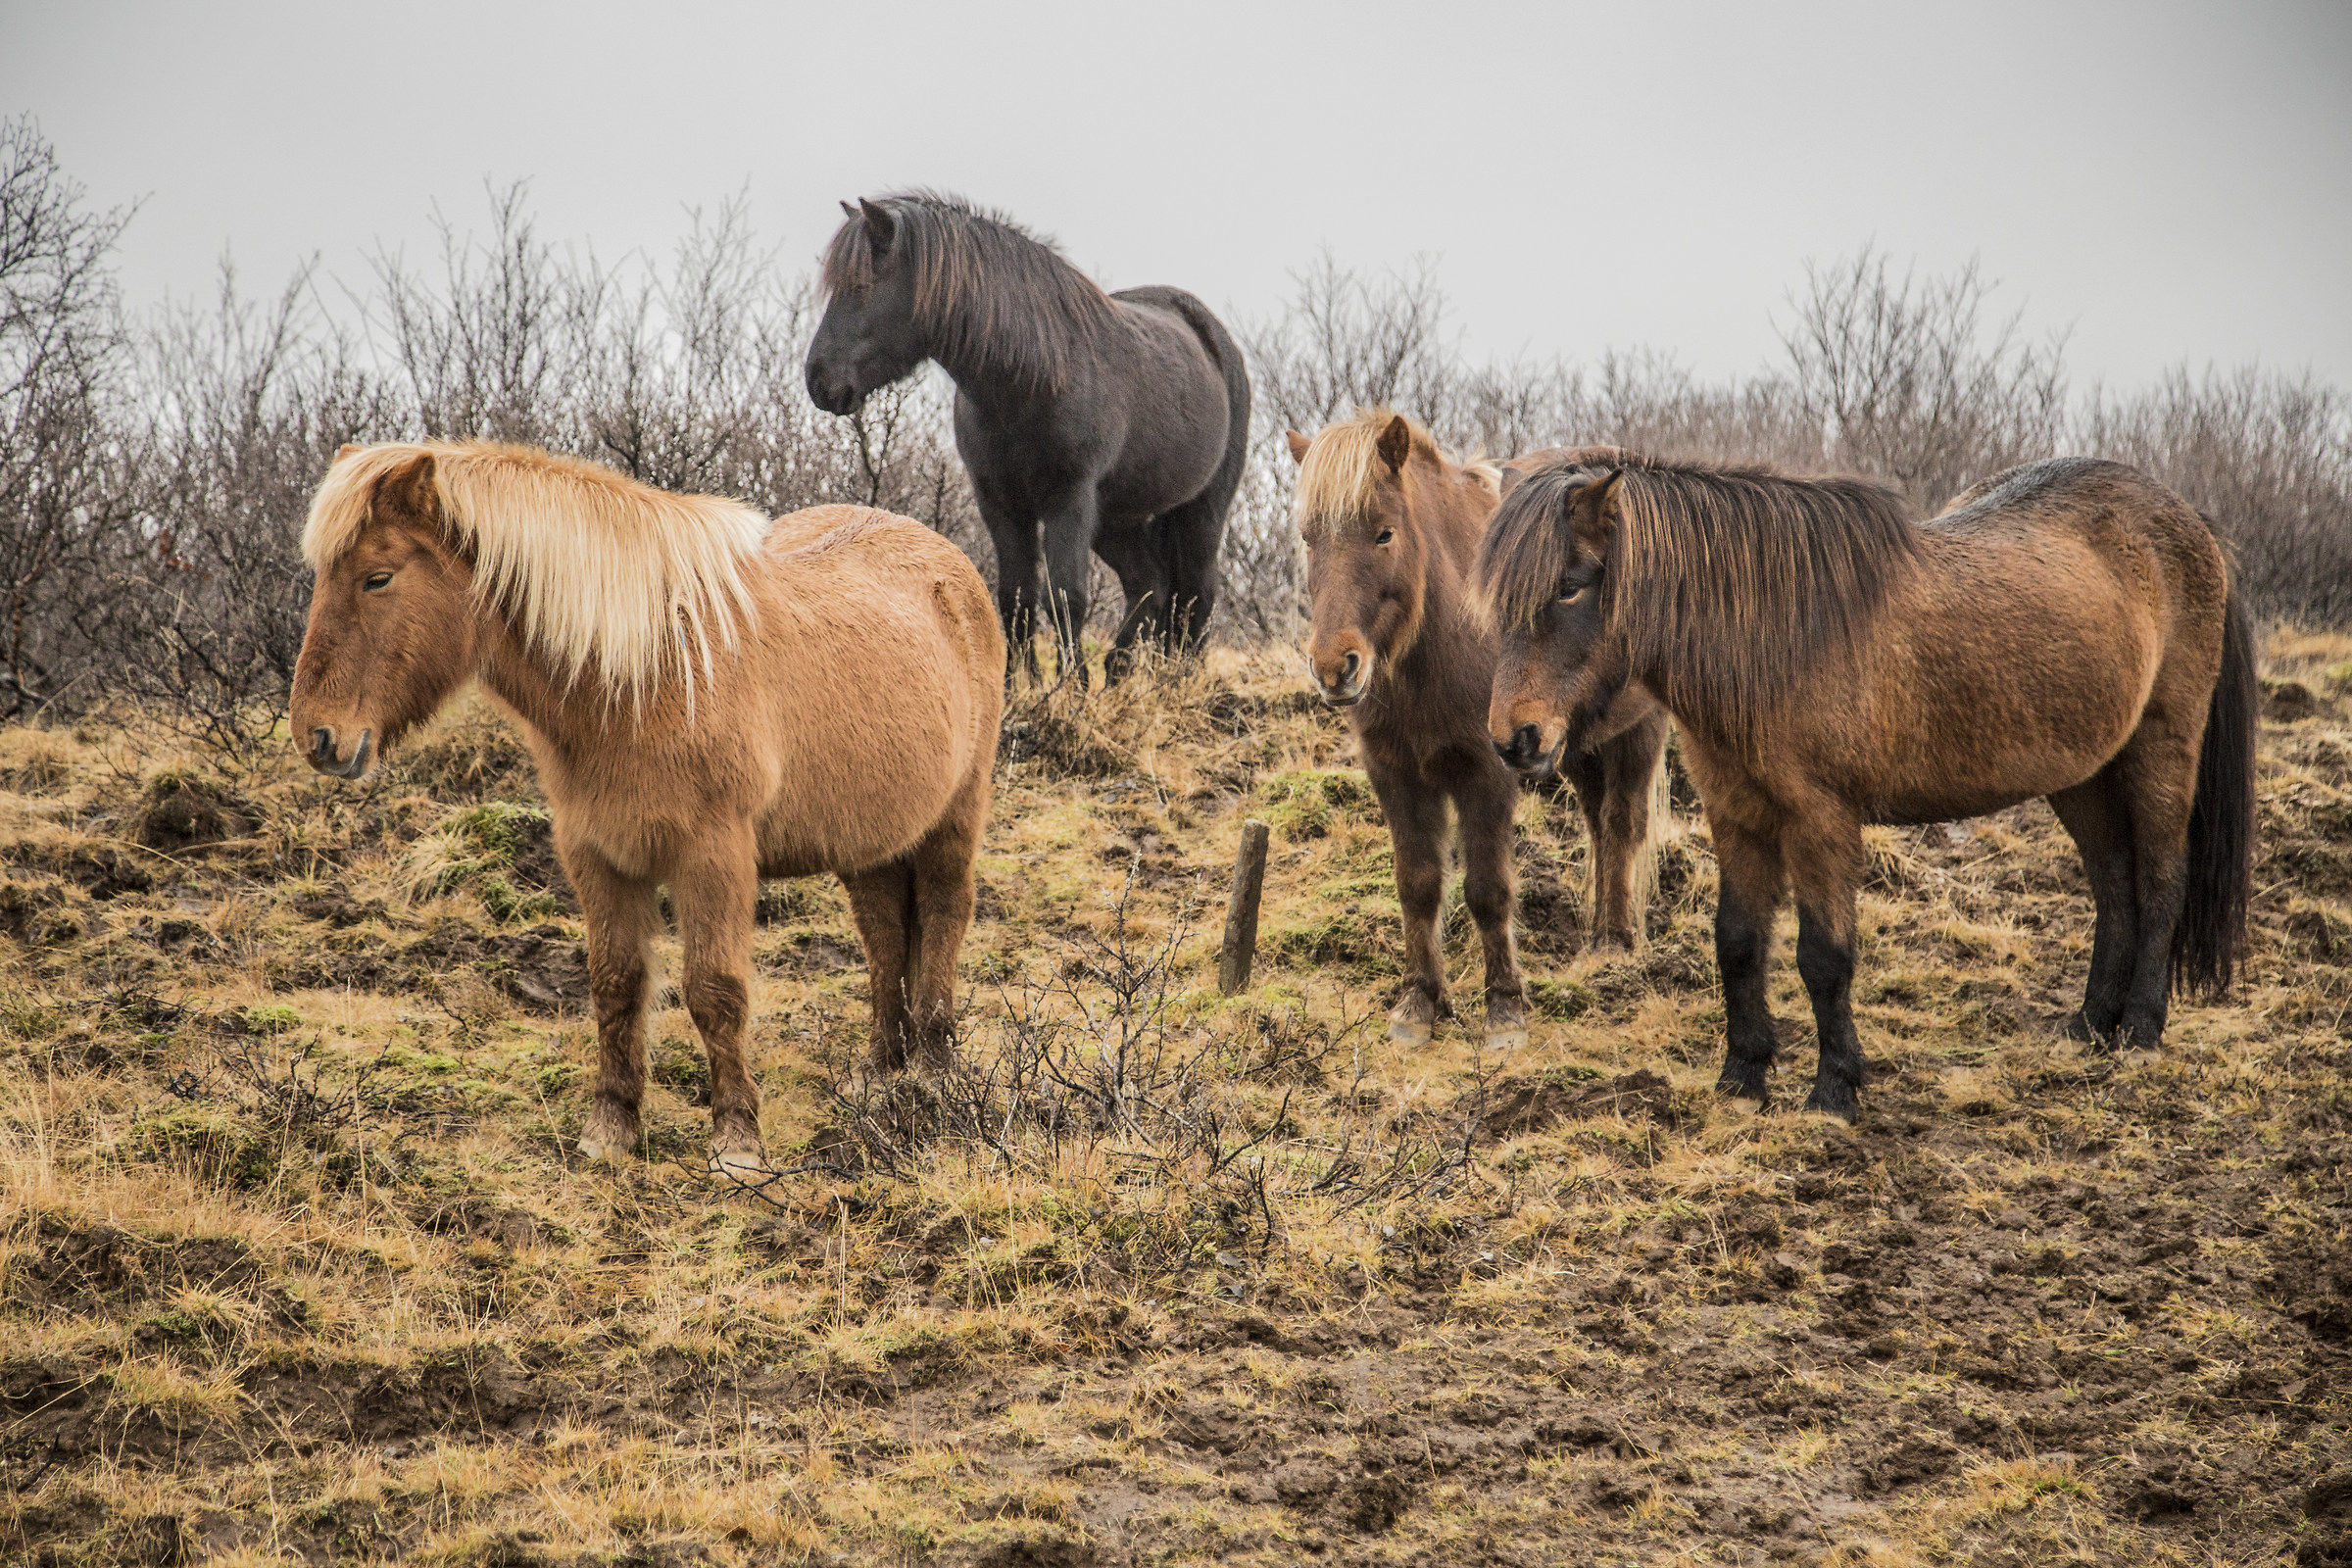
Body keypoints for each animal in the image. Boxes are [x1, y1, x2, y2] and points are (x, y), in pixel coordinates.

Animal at [291, 441, 1004, 1176]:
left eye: (378, 577)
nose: (318, 738)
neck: (645, 677)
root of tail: (949, 563)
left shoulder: (713, 858)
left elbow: (715, 990)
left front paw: (737, 1143)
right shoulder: (597, 856)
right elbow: (616, 983)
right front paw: (610, 1128)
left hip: (954, 816)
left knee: (944, 913)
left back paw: (933, 1072)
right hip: (870, 837)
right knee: (885, 931)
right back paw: (880, 1072)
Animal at [805, 192, 1250, 683]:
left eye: (863, 285)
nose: (818, 381)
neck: (1031, 380)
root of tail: (1213, 338)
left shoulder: (1068, 500)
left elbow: (1066, 597)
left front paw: (1071, 689)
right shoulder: (999, 502)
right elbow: (1014, 598)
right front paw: (1021, 688)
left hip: (1202, 511)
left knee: (1197, 593)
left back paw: (1180, 680)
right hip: (1117, 519)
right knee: (1150, 585)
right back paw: (1119, 674)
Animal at [1289, 412, 1671, 1049]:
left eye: (1384, 534)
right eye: (1307, 539)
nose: (1333, 667)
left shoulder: (1487, 770)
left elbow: (1488, 890)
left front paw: (1504, 1010)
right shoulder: (1394, 773)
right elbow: (1417, 884)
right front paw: (1420, 1004)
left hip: (1637, 731)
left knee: (1623, 824)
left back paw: (1614, 947)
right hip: (1573, 747)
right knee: (1598, 824)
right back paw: (1597, 938)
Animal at [1479, 452, 2256, 1117]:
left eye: (1571, 583)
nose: (1516, 740)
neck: (1776, 637)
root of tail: (2193, 523)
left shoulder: (1821, 819)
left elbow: (1824, 957)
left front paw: (1835, 1088)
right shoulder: (1737, 814)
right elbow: (1737, 941)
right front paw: (1742, 1077)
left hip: (2161, 749)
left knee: (2160, 881)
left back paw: (2141, 1031)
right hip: (2083, 773)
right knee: (2114, 885)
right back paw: (2091, 1023)